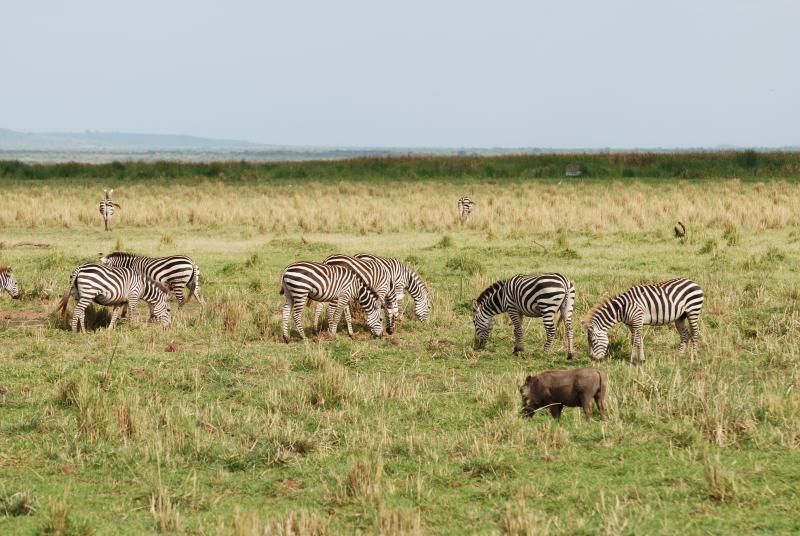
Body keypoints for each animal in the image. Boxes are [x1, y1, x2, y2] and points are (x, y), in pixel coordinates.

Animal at [580, 276, 708, 364]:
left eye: (593, 341)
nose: (592, 359)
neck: (622, 308)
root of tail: (692, 282)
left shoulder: (637, 320)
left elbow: (635, 341)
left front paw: (632, 360)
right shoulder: (633, 324)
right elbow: (638, 340)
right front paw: (641, 359)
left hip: (693, 311)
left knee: (694, 333)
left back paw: (694, 358)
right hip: (680, 316)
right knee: (685, 334)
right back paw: (679, 356)